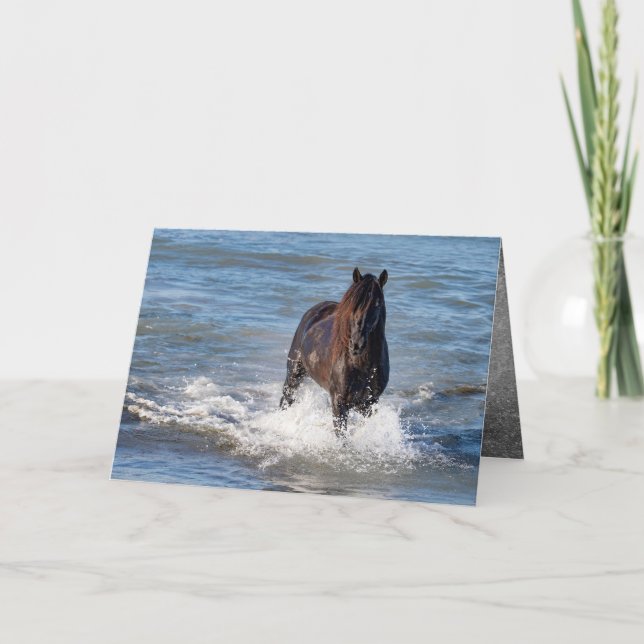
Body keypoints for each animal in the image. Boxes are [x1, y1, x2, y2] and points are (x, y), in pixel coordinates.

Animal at [279, 267, 389, 433]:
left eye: (377, 304)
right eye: (353, 304)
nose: (356, 344)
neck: (361, 364)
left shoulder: (369, 404)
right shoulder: (339, 402)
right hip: (293, 375)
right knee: (286, 399)